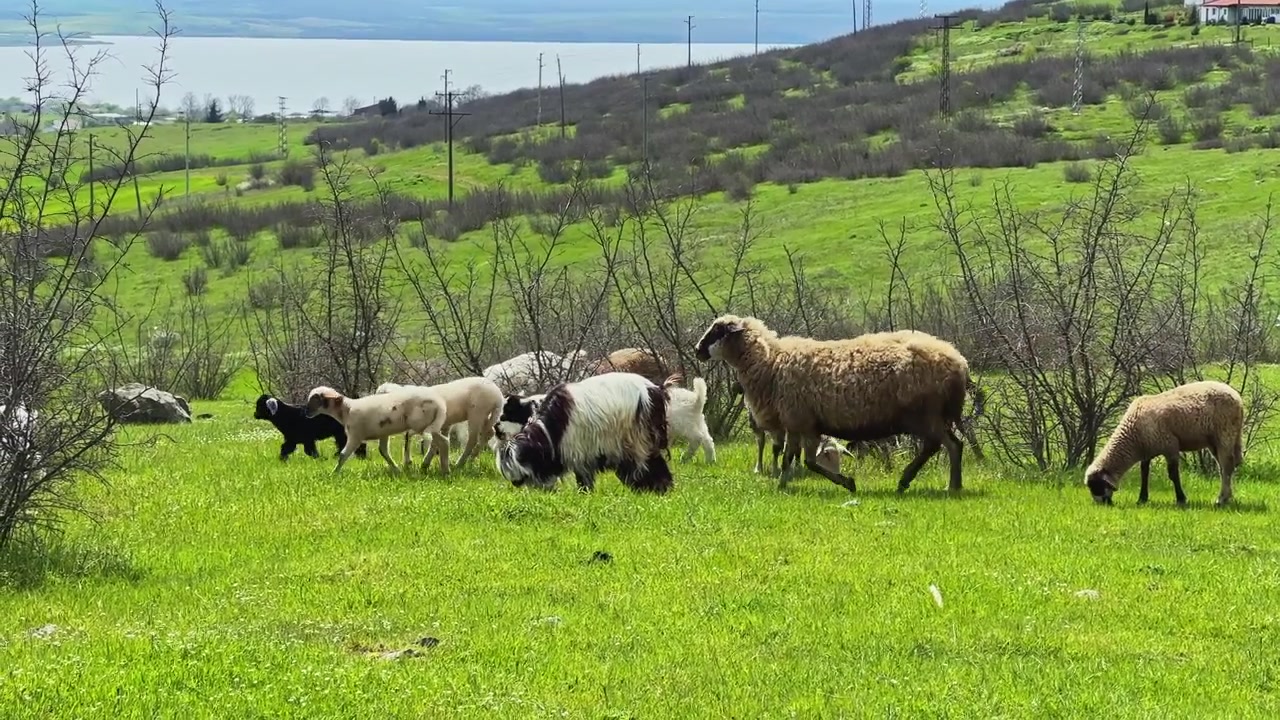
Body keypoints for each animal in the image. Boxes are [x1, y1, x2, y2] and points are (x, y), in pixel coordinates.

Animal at [304, 384, 449, 474]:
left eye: (315, 400)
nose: (306, 412)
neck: (346, 410)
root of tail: (438, 403)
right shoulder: (383, 433)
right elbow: (383, 451)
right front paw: (396, 470)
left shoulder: (355, 435)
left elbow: (343, 455)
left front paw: (334, 473)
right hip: (428, 425)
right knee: (443, 441)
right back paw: (444, 468)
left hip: (421, 424)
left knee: (442, 441)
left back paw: (445, 470)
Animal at [493, 372, 672, 493]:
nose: (515, 483)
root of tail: (654, 390)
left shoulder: (579, 452)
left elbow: (584, 479)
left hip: (639, 438)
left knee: (648, 463)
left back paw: (660, 488)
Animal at [695, 317, 971, 494]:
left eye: (717, 331)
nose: (697, 350)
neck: (770, 362)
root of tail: (958, 361)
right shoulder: (799, 423)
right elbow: (791, 458)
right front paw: (783, 483)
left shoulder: (801, 421)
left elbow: (805, 461)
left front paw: (847, 482)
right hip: (931, 415)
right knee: (948, 445)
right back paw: (939, 483)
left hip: (925, 413)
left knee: (944, 445)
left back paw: (932, 483)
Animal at [1084, 380, 1244, 507]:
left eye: (1096, 486)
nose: (1102, 504)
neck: (1133, 438)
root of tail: (1237, 397)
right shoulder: (1147, 450)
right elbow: (1144, 473)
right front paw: (1142, 499)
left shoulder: (1170, 445)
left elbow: (1173, 474)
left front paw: (1181, 499)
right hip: (1215, 440)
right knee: (1224, 468)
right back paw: (1226, 497)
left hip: (1225, 434)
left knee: (1227, 466)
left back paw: (1221, 499)